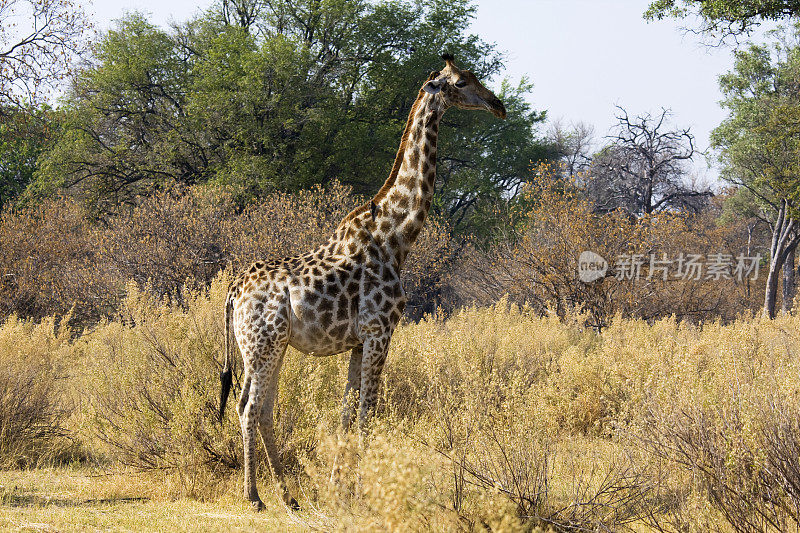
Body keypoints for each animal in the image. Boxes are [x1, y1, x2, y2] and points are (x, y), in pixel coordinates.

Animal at [219, 54, 506, 512]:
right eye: (462, 82)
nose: (499, 105)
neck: (397, 237)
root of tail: (233, 292)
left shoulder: (358, 341)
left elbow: (346, 414)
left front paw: (339, 490)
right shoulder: (379, 331)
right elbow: (368, 416)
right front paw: (362, 494)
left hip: (267, 347)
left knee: (258, 407)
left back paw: (289, 496)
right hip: (262, 345)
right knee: (249, 408)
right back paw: (255, 497)